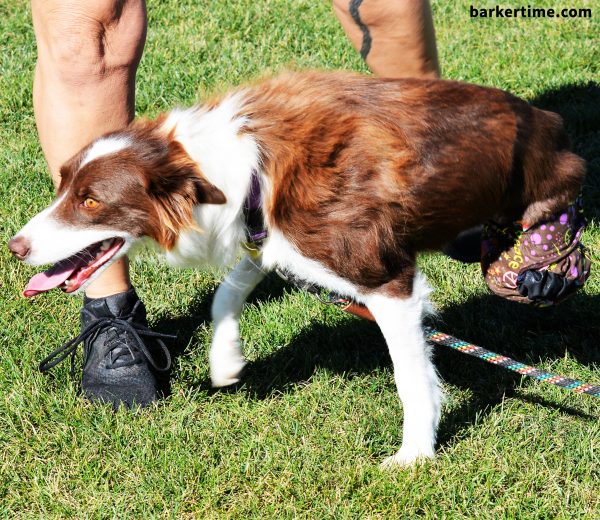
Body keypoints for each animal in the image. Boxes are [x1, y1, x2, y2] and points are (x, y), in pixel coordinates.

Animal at [7, 71, 584, 466]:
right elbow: (227, 290)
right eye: (63, 186)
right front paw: (226, 362)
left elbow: (411, 376)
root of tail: (550, 121)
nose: (14, 246)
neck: (237, 171)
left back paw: (551, 257)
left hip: (539, 181)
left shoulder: (386, 278)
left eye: (90, 202)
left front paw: (414, 456)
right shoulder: (268, 235)